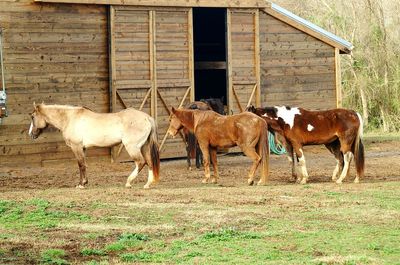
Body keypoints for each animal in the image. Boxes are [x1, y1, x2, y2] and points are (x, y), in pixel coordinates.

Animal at [28, 102, 160, 188]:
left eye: (33, 117)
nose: (31, 134)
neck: (70, 118)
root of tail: (147, 118)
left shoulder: (76, 147)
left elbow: (81, 165)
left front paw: (81, 184)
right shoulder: (83, 148)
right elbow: (83, 165)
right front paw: (84, 182)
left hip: (132, 147)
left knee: (140, 162)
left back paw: (128, 182)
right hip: (144, 147)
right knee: (149, 163)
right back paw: (147, 184)